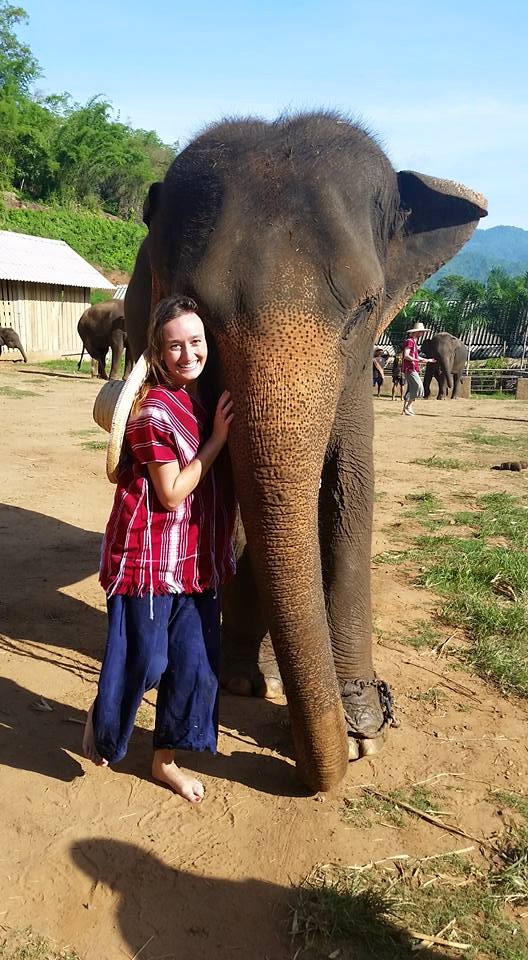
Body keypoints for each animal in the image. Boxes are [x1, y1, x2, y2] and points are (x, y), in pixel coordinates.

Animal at [124, 112, 487, 792]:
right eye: (194, 307)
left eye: (366, 306)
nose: (334, 759)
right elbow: (232, 490)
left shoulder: (362, 365)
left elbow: (350, 485)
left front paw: (364, 727)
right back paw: (247, 677)